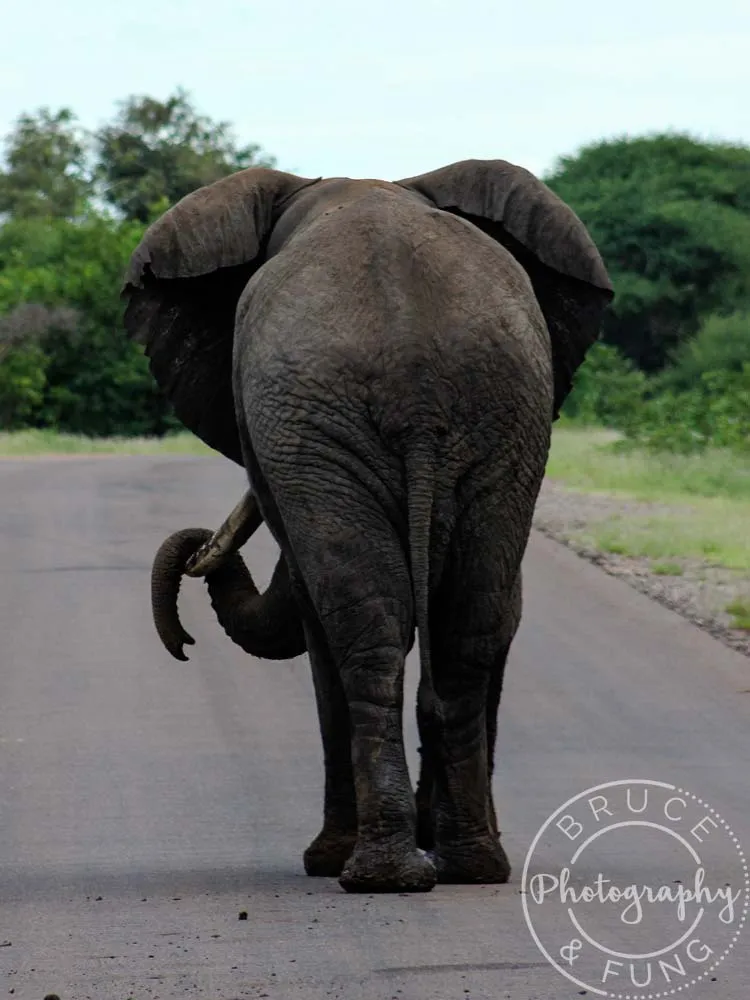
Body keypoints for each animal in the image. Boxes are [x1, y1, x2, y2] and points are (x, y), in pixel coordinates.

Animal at [122, 159, 613, 894]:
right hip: (496, 416)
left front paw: (326, 860)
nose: (183, 643)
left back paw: (374, 871)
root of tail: (418, 384)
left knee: (366, 628)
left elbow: (314, 612)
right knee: (464, 627)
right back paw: (468, 864)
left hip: (341, 426)